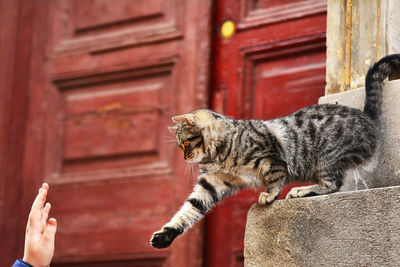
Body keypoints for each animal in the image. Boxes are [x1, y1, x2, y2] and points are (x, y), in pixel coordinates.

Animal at [149, 54, 400, 249]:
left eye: (185, 144)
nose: (184, 157)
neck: (219, 156)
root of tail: (367, 117)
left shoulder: (272, 157)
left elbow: (275, 177)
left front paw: (269, 194)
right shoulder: (212, 183)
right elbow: (189, 209)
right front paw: (166, 234)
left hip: (327, 157)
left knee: (332, 185)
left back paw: (302, 190)